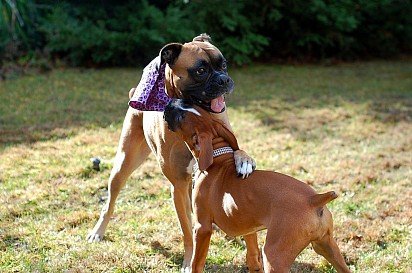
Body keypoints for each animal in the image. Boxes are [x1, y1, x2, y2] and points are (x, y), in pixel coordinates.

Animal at [86, 34, 258, 270]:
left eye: (223, 65)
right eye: (200, 70)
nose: (224, 79)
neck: (197, 115)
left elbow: (239, 151)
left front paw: (244, 161)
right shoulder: (177, 186)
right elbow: (187, 230)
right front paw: (189, 260)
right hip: (124, 164)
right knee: (110, 201)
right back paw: (98, 231)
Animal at [164, 98, 350, 272]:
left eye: (181, 117)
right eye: (188, 103)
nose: (171, 102)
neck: (217, 160)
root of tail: (314, 199)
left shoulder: (202, 228)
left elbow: (197, 263)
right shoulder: (248, 226)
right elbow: (253, 256)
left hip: (275, 255)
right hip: (327, 246)